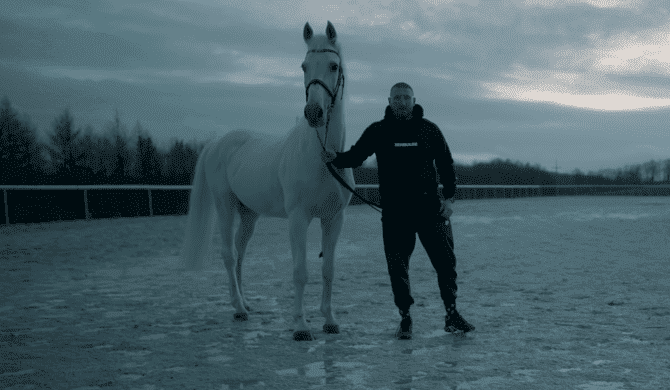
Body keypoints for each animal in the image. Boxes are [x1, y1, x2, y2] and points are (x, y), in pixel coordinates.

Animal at [181, 20, 354, 342]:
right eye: (303, 66)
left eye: (334, 66)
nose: (313, 113)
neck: (322, 156)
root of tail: (218, 143)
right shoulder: (298, 218)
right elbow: (300, 272)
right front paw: (300, 326)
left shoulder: (333, 219)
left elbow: (328, 270)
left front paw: (329, 320)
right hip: (225, 206)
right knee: (228, 254)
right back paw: (239, 309)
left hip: (249, 214)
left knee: (240, 252)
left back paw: (245, 301)